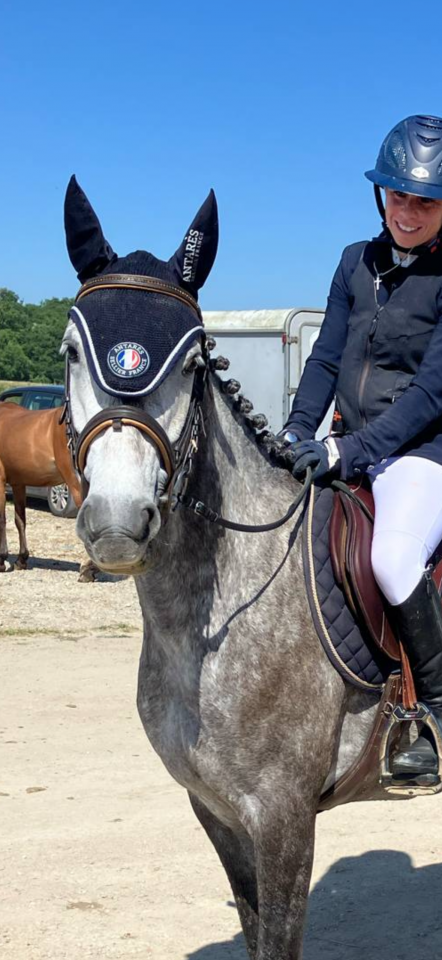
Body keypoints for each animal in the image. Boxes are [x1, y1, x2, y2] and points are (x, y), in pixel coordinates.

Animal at [0, 402, 96, 581]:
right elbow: (20, 521)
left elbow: (2, 520)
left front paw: (2, 560)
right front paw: (21, 559)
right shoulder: (18, 483)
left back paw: (89, 568)